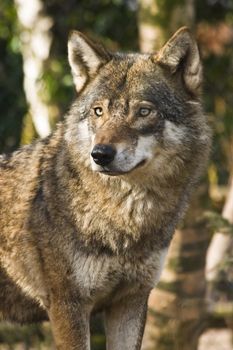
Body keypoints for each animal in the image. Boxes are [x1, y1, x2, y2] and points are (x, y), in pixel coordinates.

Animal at [0, 28, 211, 350]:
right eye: (98, 111)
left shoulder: (131, 301)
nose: (100, 154)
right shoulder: (68, 305)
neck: (126, 217)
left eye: (143, 111)